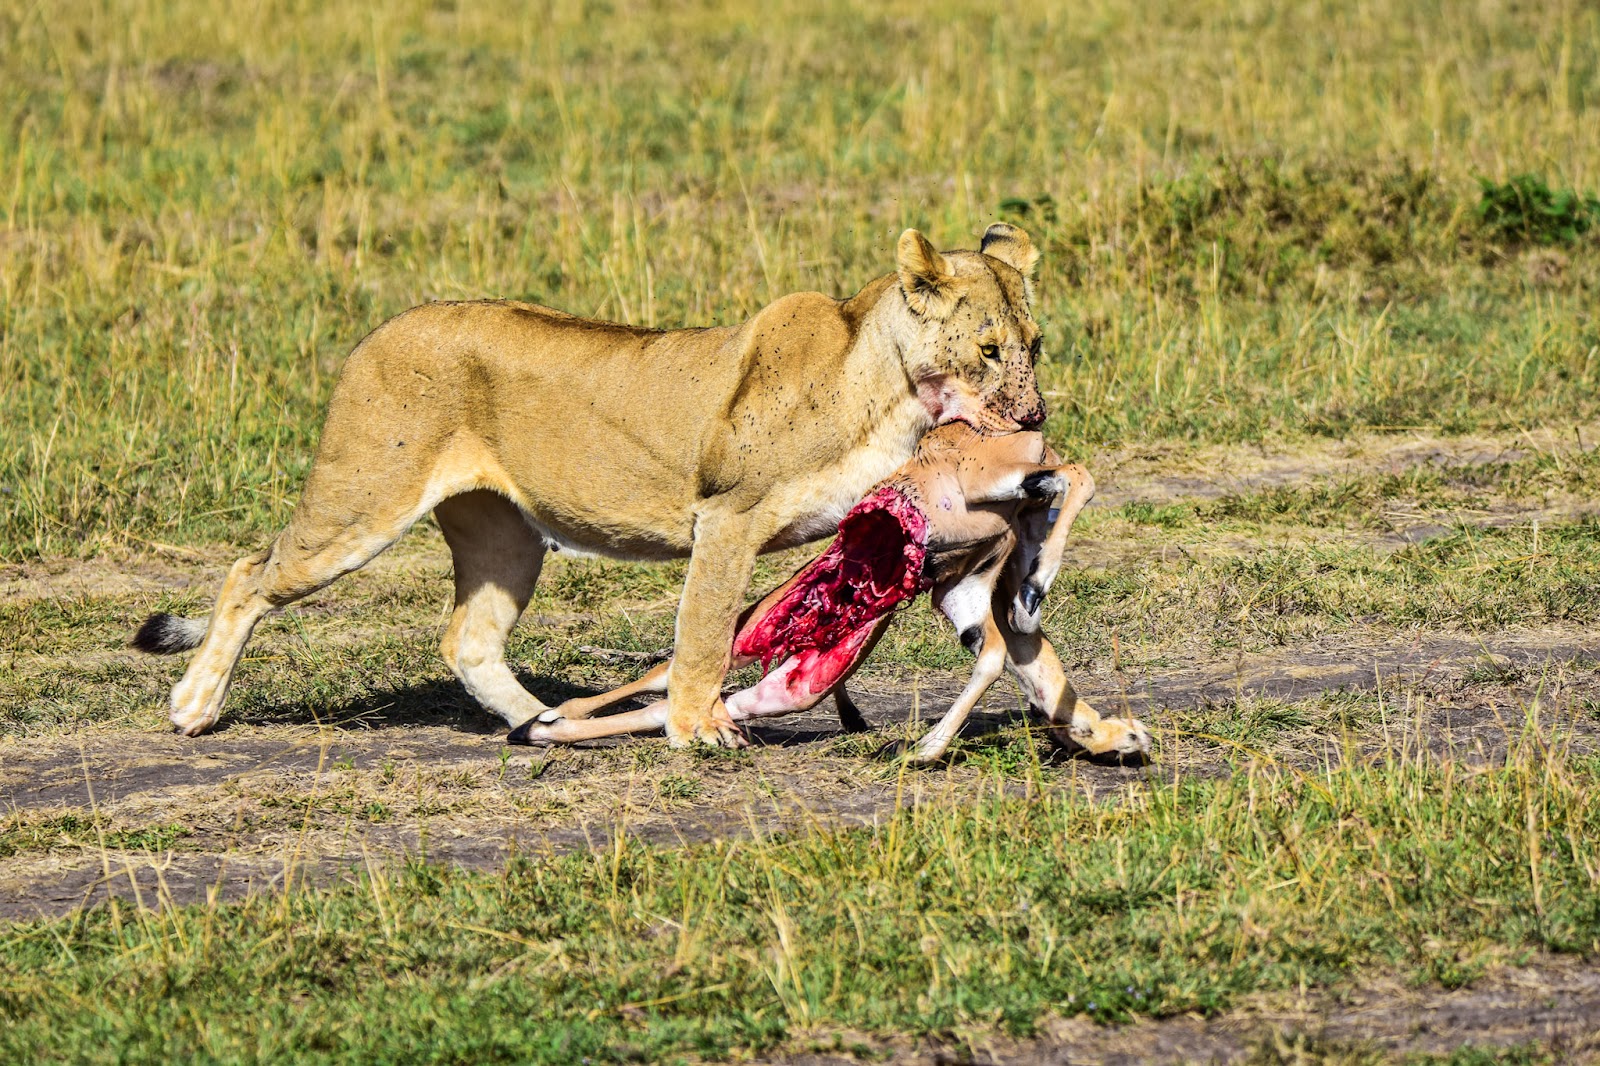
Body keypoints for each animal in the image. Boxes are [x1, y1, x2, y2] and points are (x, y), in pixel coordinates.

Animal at [132, 224, 1049, 746]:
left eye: (1035, 344)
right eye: (989, 349)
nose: (1036, 414)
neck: (889, 387)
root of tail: (375, 335)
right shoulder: (727, 516)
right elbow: (704, 633)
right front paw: (695, 731)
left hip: (503, 536)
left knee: (468, 640)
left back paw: (543, 723)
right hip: (362, 499)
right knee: (249, 573)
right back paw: (194, 706)